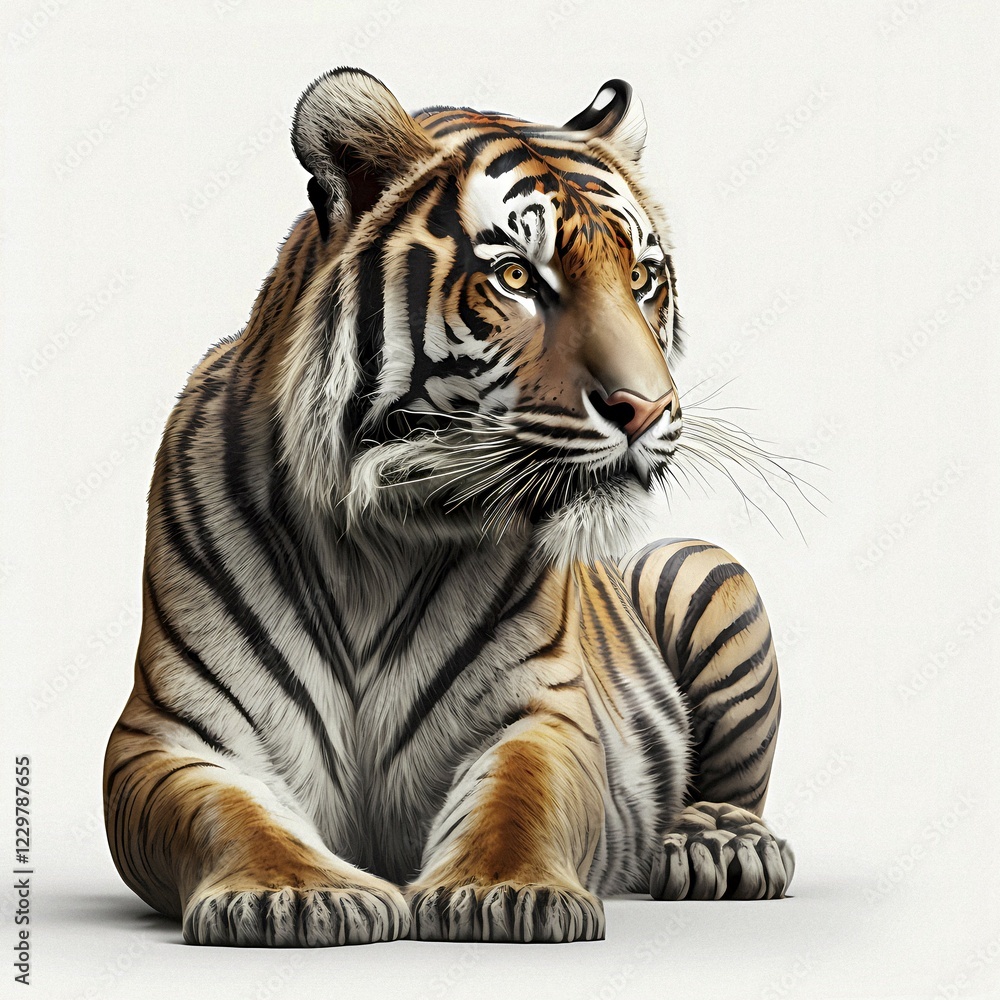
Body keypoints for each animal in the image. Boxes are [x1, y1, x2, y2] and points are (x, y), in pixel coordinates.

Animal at [103, 68, 794, 947]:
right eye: (517, 278)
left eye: (642, 278)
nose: (646, 409)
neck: (374, 546)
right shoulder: (169, 733)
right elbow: (229, 814)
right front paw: (298, 892)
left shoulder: (541, 715)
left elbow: (519, 799)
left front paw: (506, 892)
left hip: (707, 569)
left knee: (733, 788)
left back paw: (718, 844)